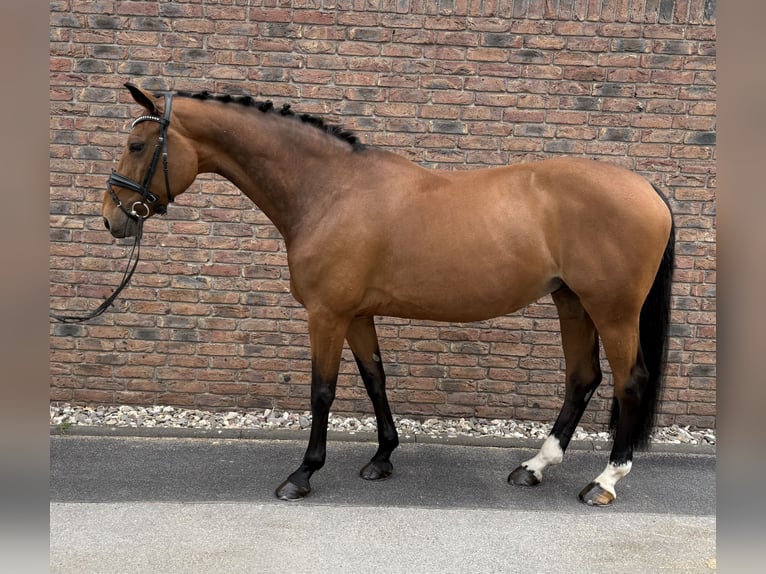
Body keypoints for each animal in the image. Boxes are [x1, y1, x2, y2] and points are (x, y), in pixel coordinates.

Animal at [101, 83, 675, 506]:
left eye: (136, 147)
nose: (112, 219)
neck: (330, 190)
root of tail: (646, 187)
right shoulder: (356, 315)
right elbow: (375, 379)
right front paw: (381, 459)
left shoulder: (326, 315)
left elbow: (323, 391)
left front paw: (302, 475)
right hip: (571, 302)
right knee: (582, 379)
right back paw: (534, 467)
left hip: (613, 311)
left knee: (628, 382)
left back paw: (604, 482)